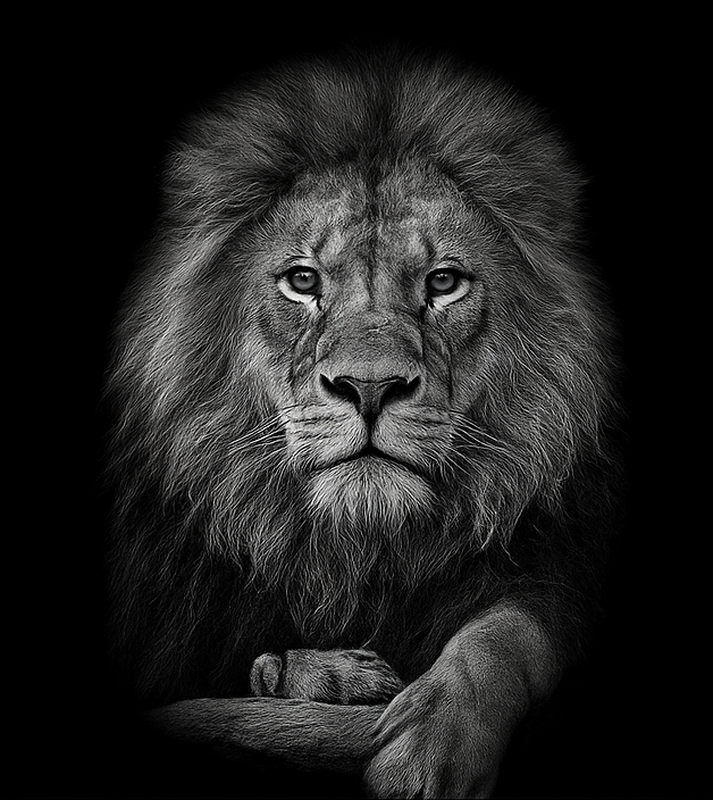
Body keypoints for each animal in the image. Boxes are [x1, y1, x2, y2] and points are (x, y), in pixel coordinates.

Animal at [105, 47, 622, 798]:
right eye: (301, 281)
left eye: (443, 282)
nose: (371, 387)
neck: (354, 551)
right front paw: (335, 678)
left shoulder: (556, 564)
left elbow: (505, 638)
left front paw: (432, 749)